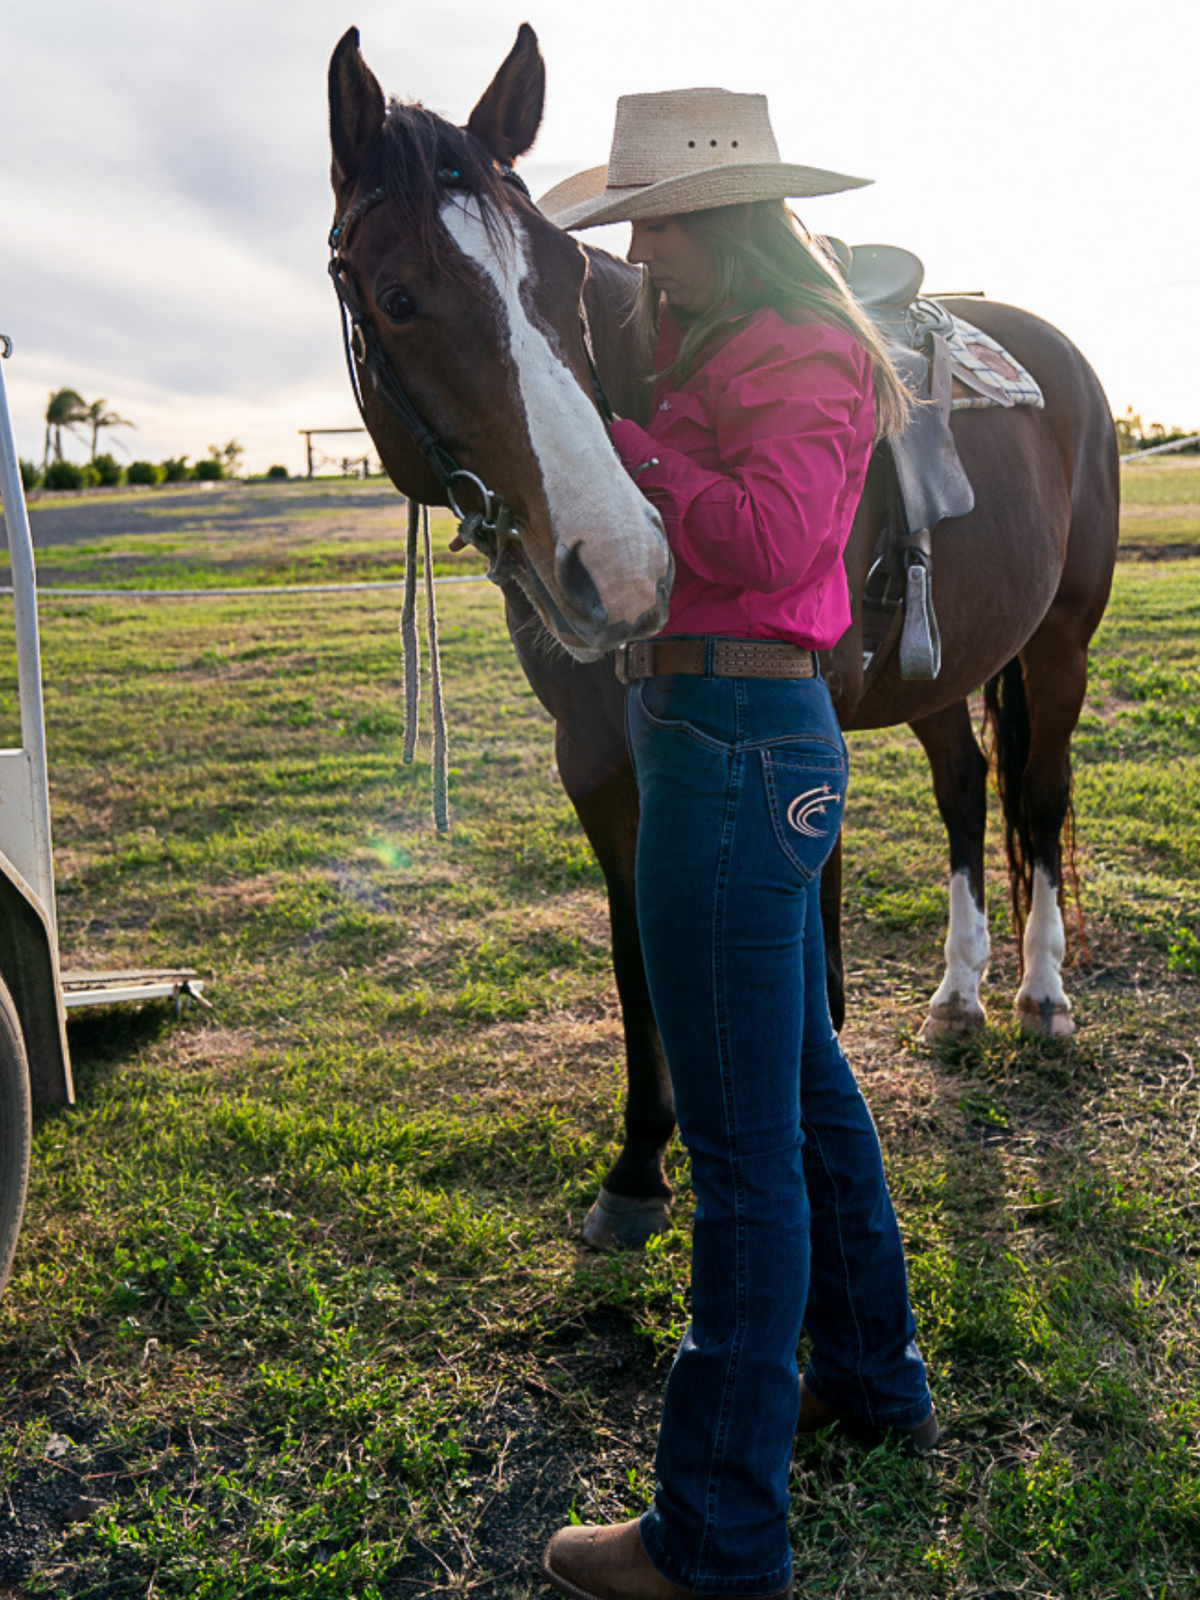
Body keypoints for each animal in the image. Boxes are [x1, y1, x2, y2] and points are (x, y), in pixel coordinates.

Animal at [327, 25, 1120, 1249]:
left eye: (564, 274)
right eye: (400, 296)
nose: (620, 565)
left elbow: (816, 973)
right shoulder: (596, 763)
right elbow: (636, 959)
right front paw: (639, 1164)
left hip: (1060, 647)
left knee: (1037, 798)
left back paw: (1040, 993)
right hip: (946, 673)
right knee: (964, 789)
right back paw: (957, 994)